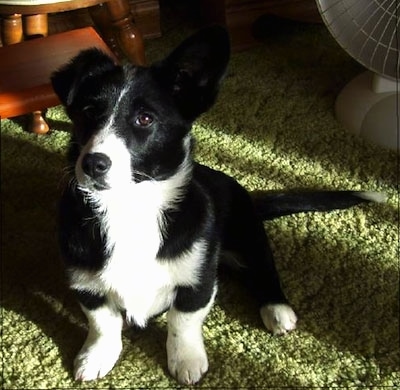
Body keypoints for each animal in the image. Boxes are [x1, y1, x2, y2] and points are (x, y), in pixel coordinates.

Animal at [50, 26, 384, 384]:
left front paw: (186, 361)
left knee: (265, 271)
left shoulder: (198, 279)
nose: (93, 164)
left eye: (144, 119)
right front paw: (96, 356)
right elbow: (102, 322)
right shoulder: (85, 282)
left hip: (250, 238)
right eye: (88, 112)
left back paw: (277, 310)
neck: (129, 206)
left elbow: (182, 321)